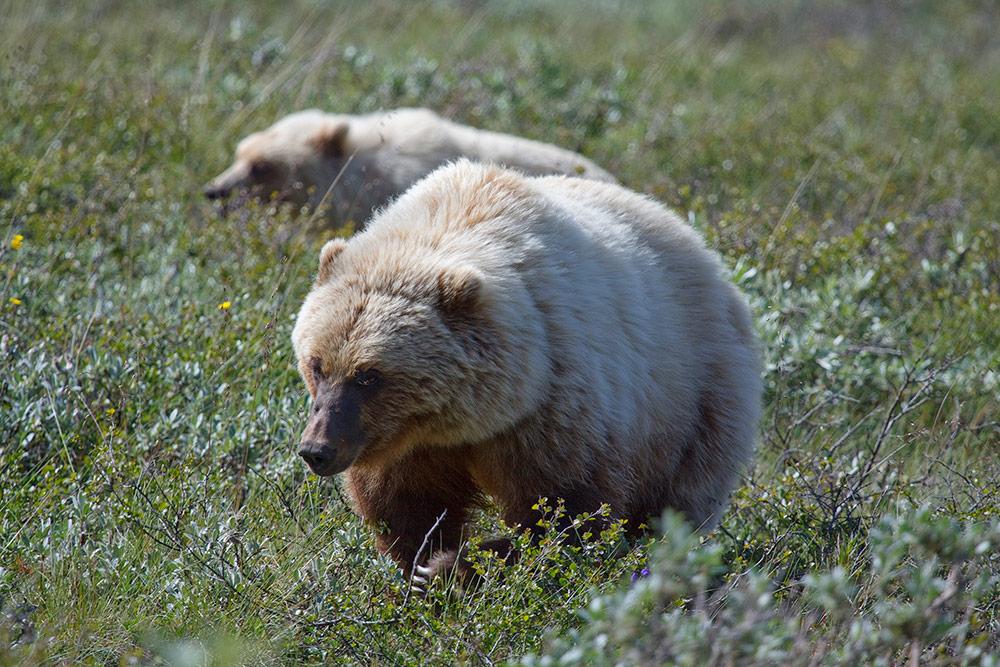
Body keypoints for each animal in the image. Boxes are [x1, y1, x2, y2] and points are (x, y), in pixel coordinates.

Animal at [292, 159, 760, 580]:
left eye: (369, 375)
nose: (317, 449)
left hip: (694, 404)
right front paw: (427, 566)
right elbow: (406, 507)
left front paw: (465, 564)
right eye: (317, 365)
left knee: (672, 503)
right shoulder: (407, 448)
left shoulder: (553, 411)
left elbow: (564, 513)